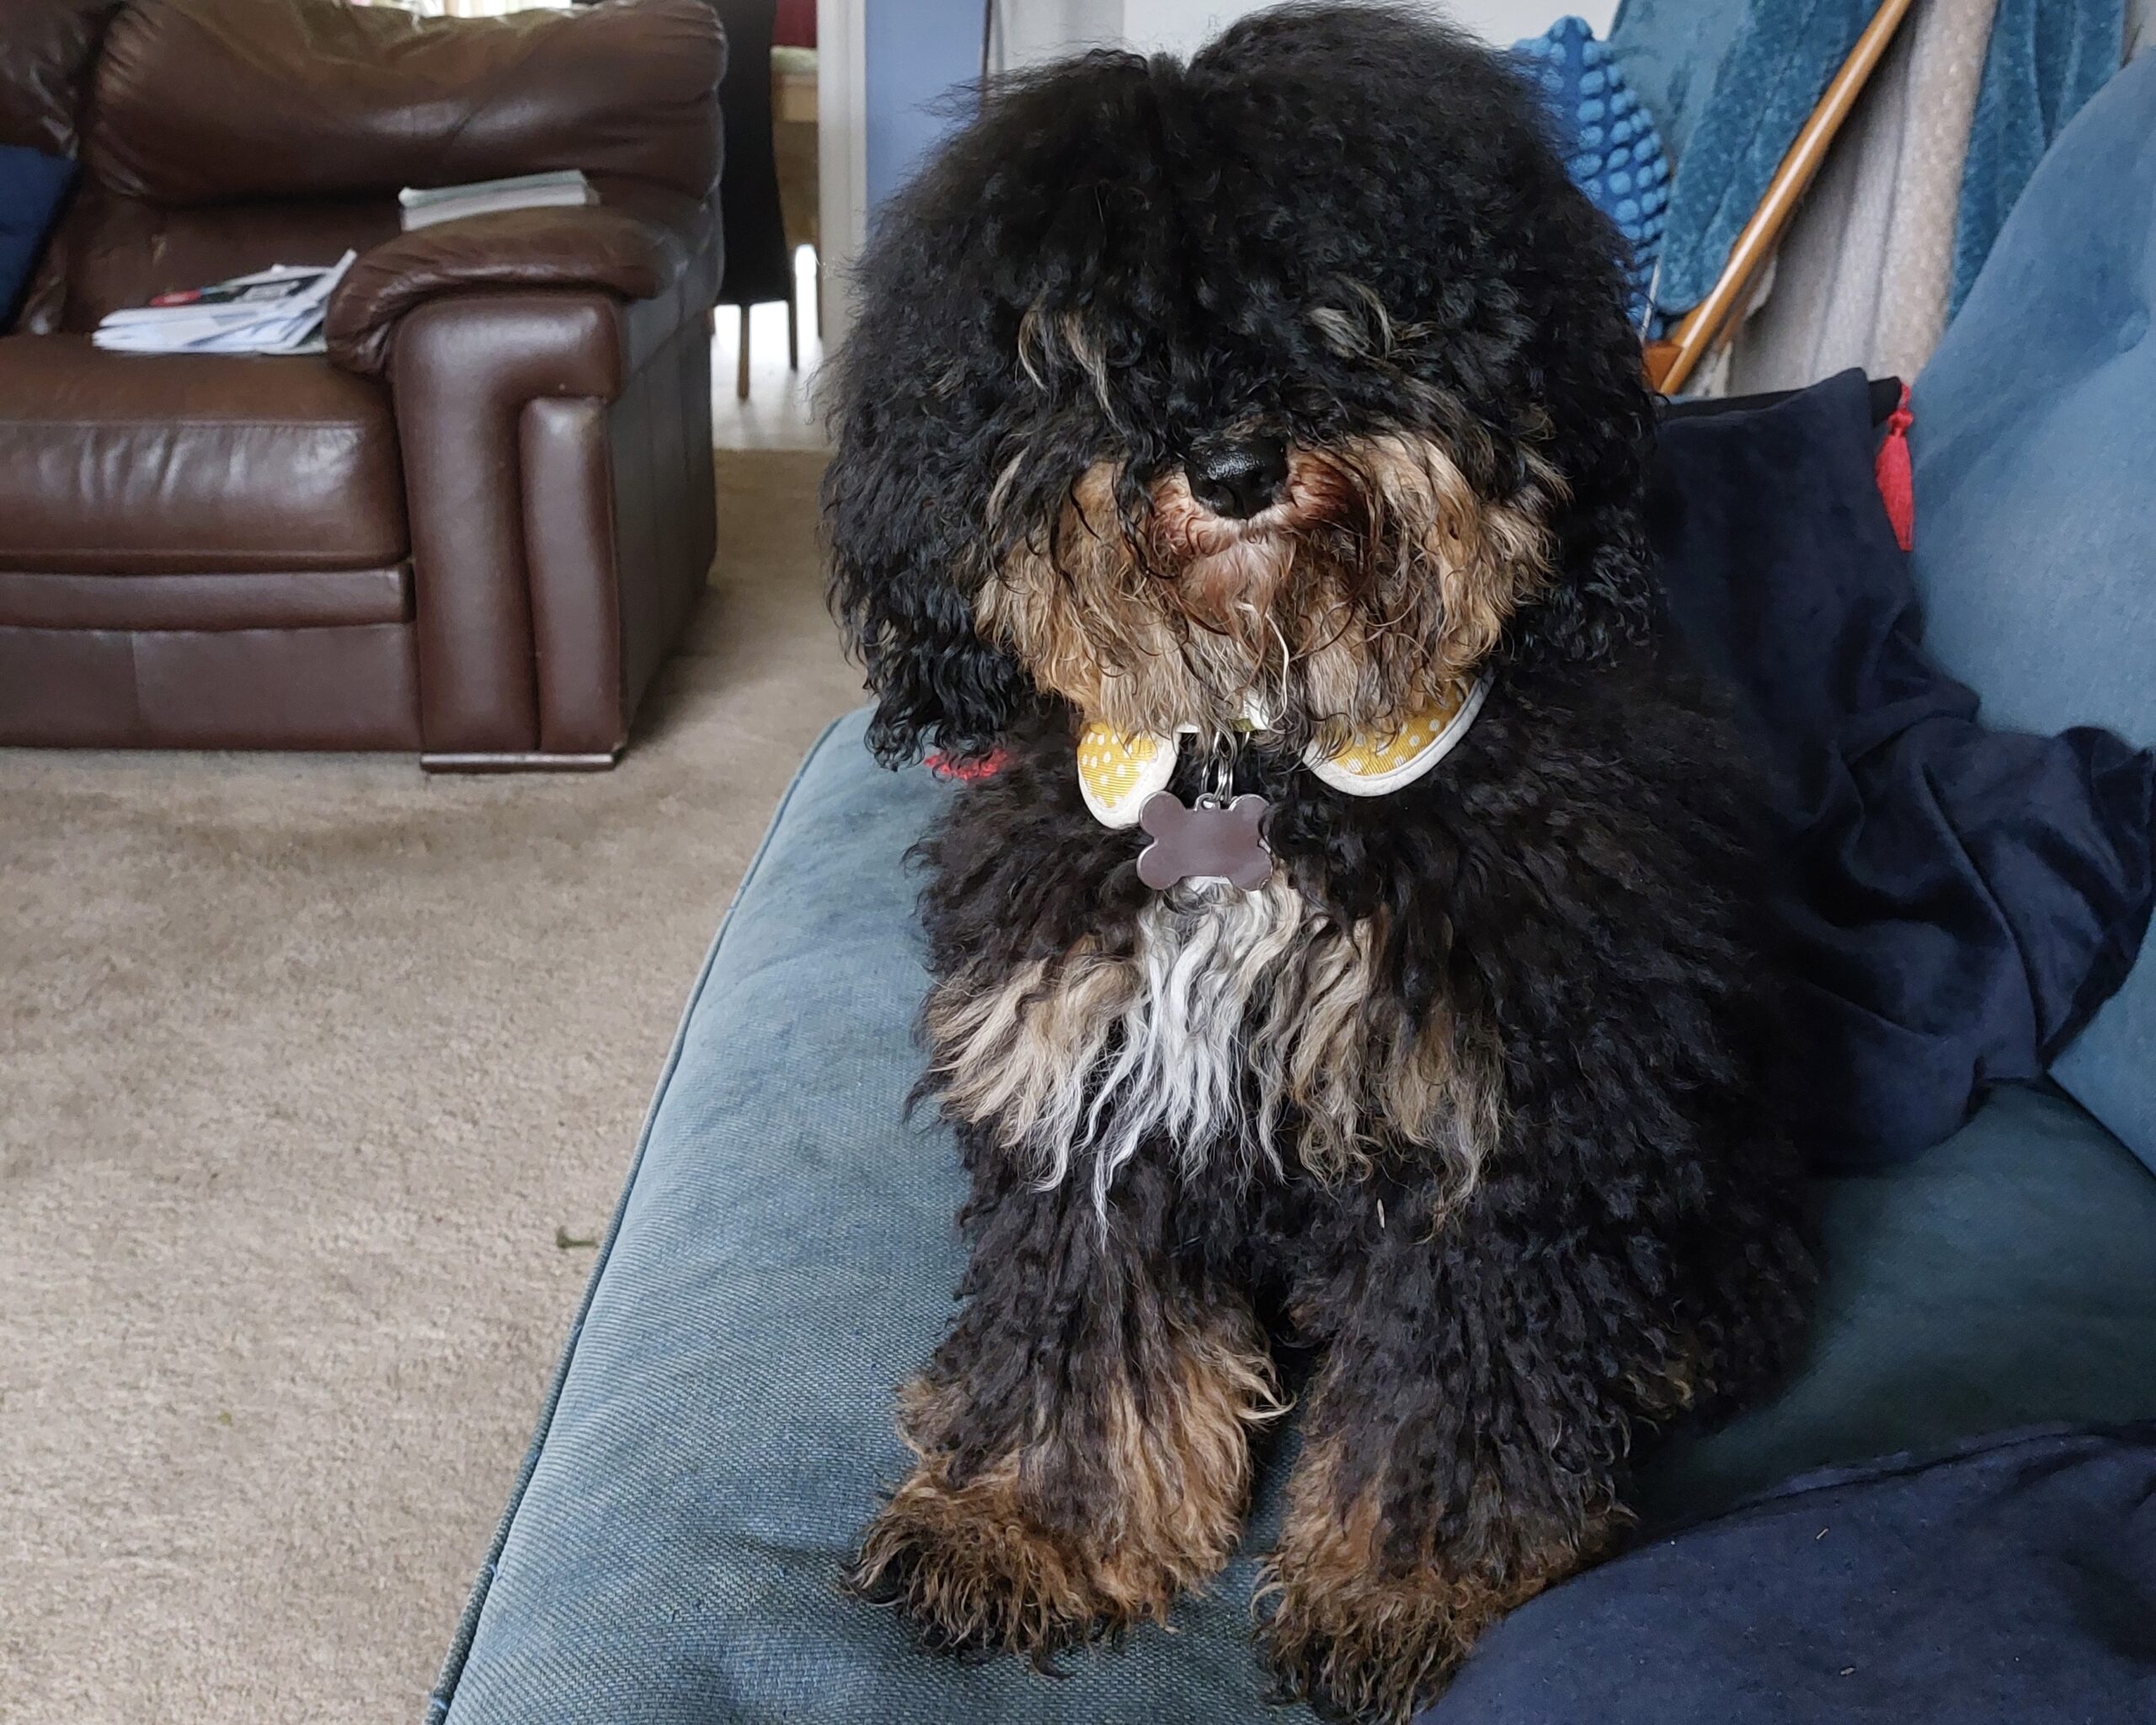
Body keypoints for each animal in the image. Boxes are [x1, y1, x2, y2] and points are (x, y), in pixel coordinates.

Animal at [823, 7, 1819, 1716]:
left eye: (1350, 308)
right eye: (1091, 347)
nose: (1230, 465)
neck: (1261, 769)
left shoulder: (1495, 1135)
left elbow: (1454, 1396)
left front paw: (1409, 1592)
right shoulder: (1094, 1077)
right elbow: (1084, 1339)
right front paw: (1031, 1528)